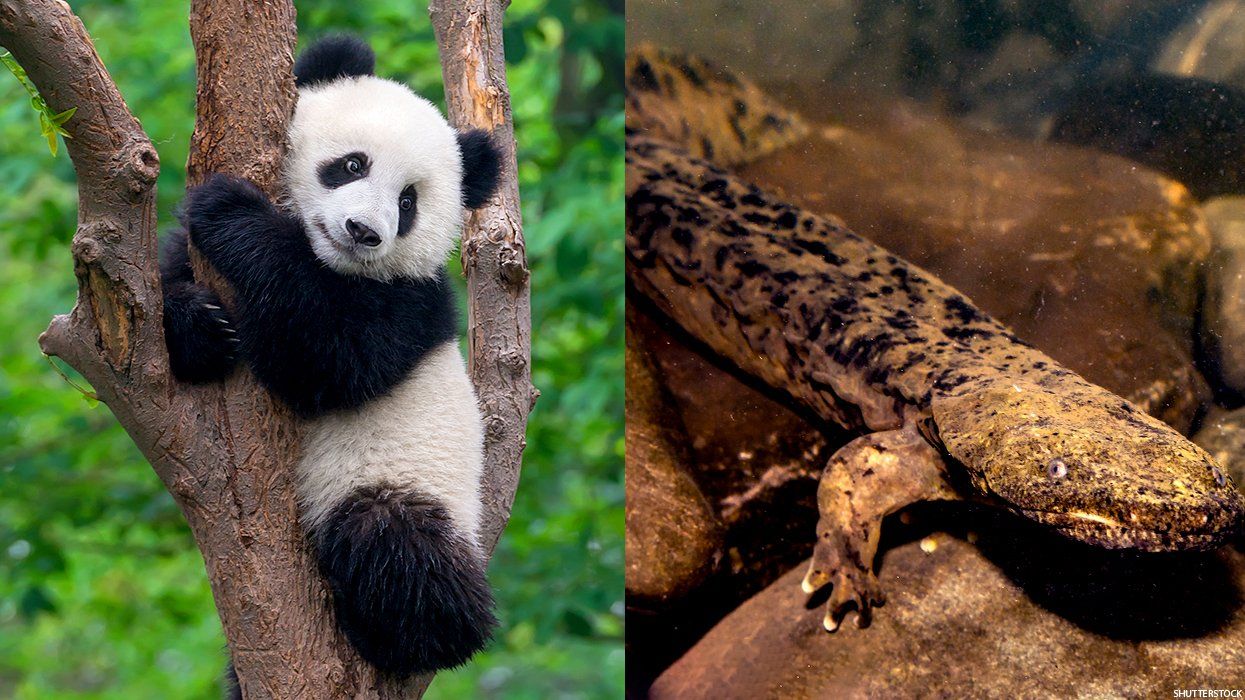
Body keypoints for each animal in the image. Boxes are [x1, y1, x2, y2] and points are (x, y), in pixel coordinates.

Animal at [159, 34, 502, 676]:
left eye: (408, 201)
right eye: (352, 165)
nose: (364, 231)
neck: (333, 262)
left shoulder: (411, 303)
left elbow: (327, 357)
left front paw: (230, 211)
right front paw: (200, 327)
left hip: (403, 483)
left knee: (398, 550)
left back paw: (408, 633)